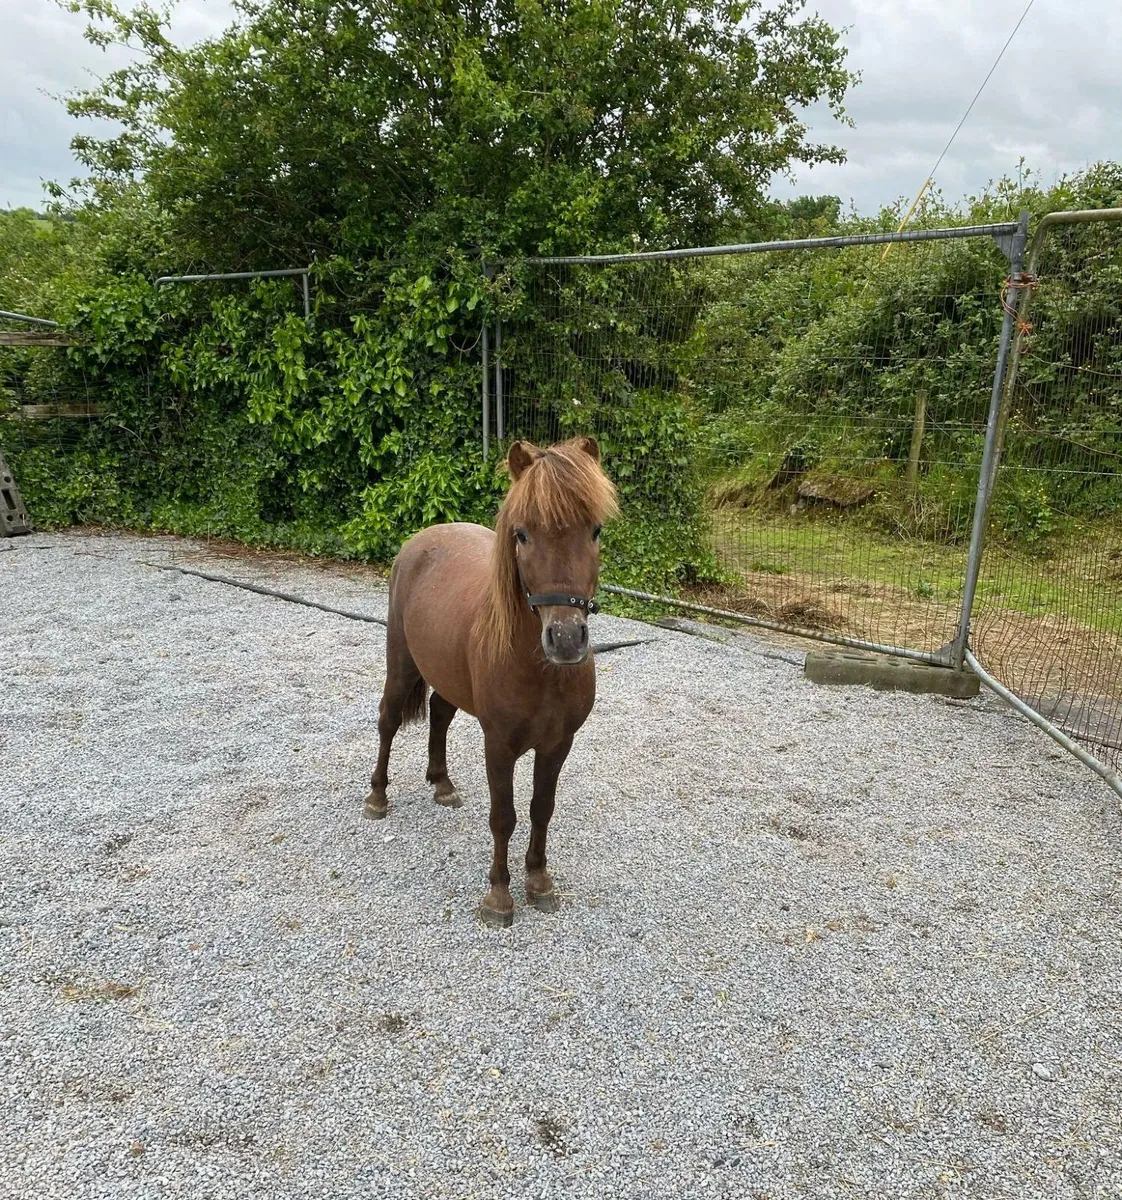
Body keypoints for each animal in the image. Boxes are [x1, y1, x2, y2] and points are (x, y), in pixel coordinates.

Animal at [364, 435, 619, 927]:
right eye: (522, 534)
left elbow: (541, 809)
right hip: (400, 664)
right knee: (388, 721)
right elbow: (504, 816)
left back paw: (442, 784)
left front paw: (539, 881)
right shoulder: (499, 744)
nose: (565, 639)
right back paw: (377, 798)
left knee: (439, 716)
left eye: (595, 530)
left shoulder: (558, 744)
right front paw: (499, 896)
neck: (541, 671)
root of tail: (424, 537)